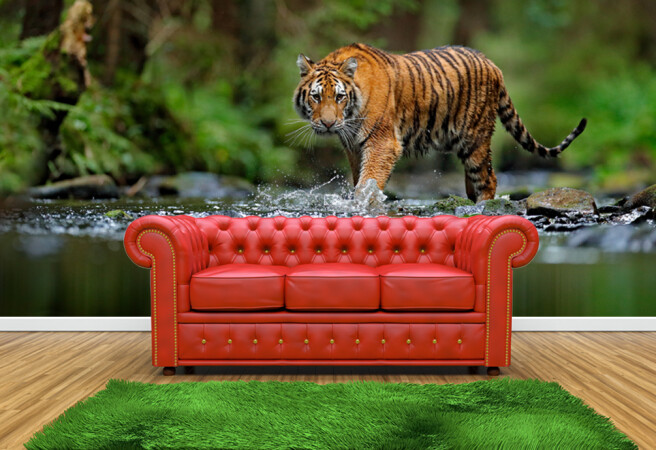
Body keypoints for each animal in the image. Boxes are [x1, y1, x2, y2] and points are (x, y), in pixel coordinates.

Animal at [292, 43, 586, 202]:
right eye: (316, 97)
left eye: (339, 97)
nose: (328, 124)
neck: (351, 116)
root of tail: (492, 64)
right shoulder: (354, 147)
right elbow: (359, 180)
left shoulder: (382, 142)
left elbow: (369, 181)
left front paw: (363, 205)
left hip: (475, 139)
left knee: (488, 179)